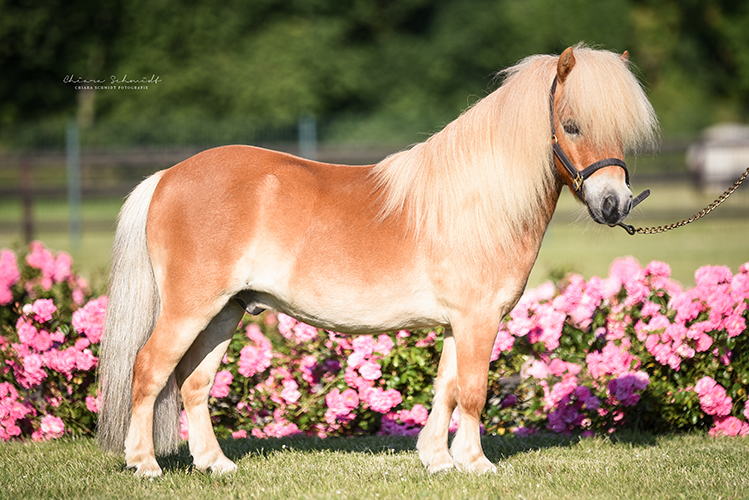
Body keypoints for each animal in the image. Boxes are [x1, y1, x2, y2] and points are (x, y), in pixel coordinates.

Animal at [97, 44, 658, 476]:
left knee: (194, 383)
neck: (477, 203)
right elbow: (473, 391)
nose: (615, 205)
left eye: (622, 131)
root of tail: (167, 176)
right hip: (190, 307)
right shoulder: (478, 318)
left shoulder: (458, 322)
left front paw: (439, 460)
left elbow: (447, 388)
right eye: (572, 125)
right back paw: (144, 464)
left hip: (226, 311)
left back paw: (215, 464)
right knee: (149, 369)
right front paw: (476, 464)